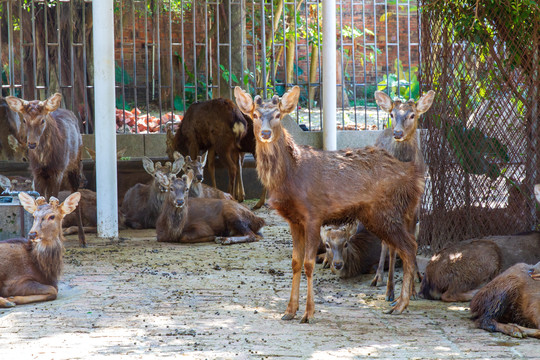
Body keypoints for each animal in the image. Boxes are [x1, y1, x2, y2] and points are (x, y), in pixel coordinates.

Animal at [4, 93, 86, 248]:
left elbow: (55, 199)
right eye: (24, 120)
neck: (44, 159)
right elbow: (40, 200)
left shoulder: (58, 171)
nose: (31, 143)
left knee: (76, 196)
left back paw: (83, 241)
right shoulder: (37, 172)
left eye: (42, 120)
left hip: (75, 165)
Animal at [234, 86, 424, 322]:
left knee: (408, 246)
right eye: (255, 115)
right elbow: (295, 263)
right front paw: (289, 311)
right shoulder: (294, 220)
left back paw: (400, 304)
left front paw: (308, 313)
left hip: (386, 211)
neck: (291, 177)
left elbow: (308, 264)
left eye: (278, 115)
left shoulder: (313, 214)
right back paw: (399, 300)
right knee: (407, 245)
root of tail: (416, 178)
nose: (266, 133)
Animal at [372, 90, 434, 300]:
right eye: (392, 114)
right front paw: (390, 292)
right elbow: (393, 247)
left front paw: (413, 289)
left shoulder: (415, 204)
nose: (397, 133)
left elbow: (412, 240)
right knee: (384, 241)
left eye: (412, 115)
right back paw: (378, 278)